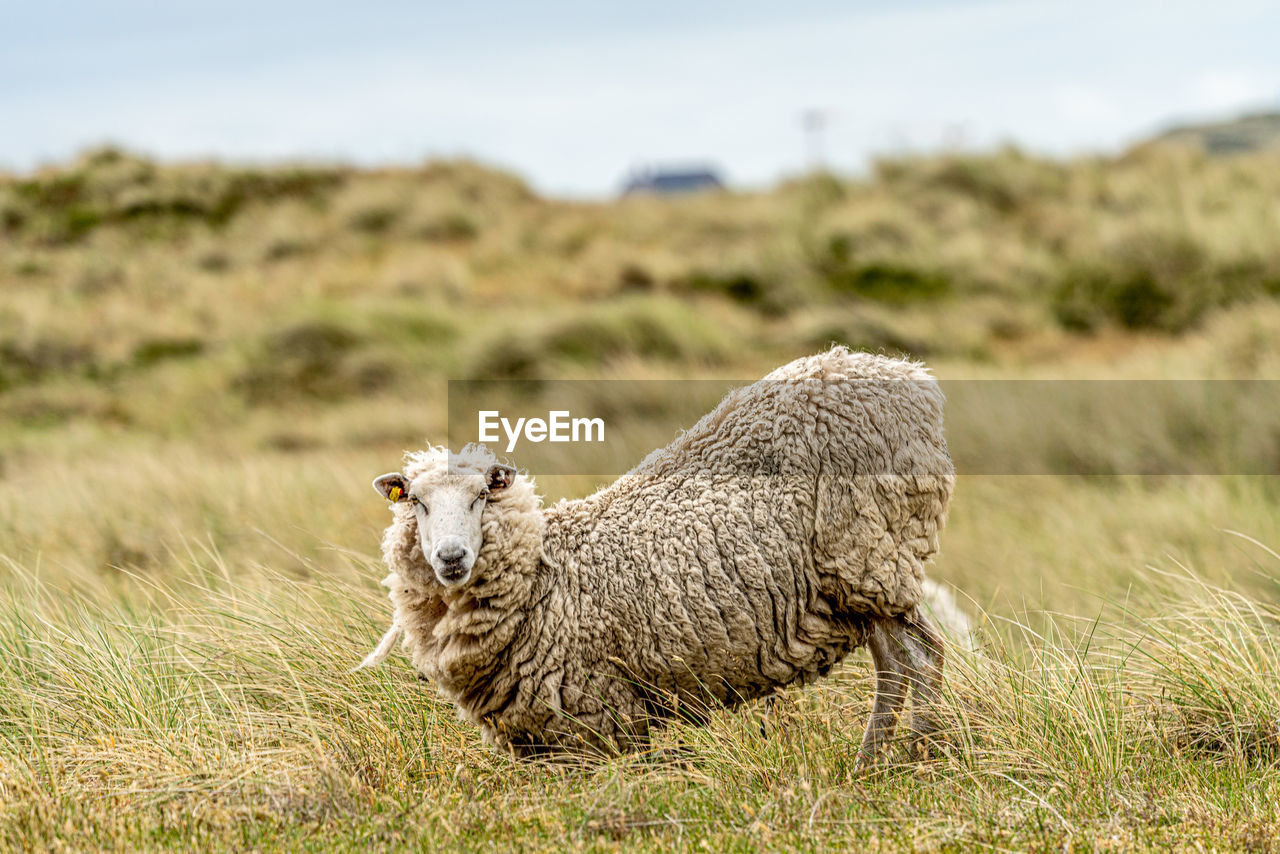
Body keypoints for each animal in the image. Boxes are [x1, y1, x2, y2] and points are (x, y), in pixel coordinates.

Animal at [355, 348, 957, 763]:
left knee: (922, 658)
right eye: (417, 502)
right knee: (895, 666)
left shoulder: (599, 715)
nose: (452, 558)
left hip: (872, 558)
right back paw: (870, 765)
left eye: (481, 496)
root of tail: (914, 383)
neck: (545, 577)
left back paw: (915, 758)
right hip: (858, 584)